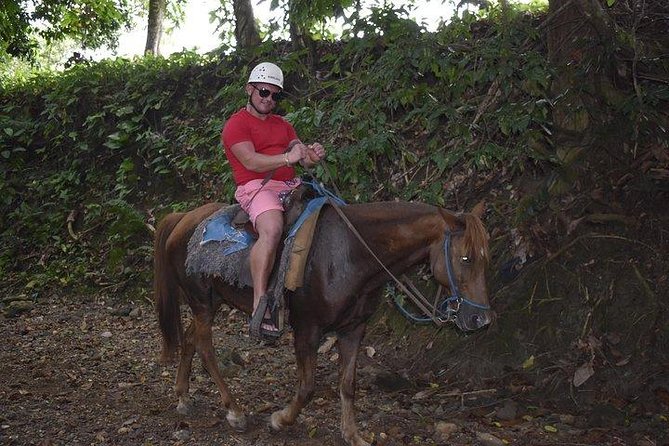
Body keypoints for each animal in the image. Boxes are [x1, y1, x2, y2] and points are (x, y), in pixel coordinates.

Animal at [155, 199, 490, 446]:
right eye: (465, 258)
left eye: (485, 259)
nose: (480, 318)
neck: (351, 255)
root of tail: (183, 218)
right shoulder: (307, 329)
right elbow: (307, 387)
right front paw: (280, 419)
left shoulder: (353, 329)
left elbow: (348, 384)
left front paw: (353, 435)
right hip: (201, 301)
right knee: (206, 349)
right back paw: (234, 412)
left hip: (213, 302)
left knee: (190, 338)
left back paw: (183, 396)